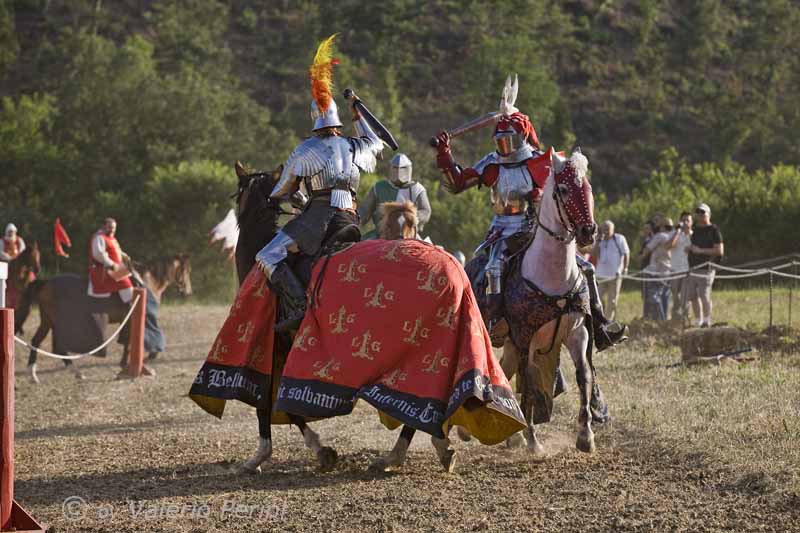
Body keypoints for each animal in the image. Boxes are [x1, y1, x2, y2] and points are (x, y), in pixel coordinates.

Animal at [15, 255, 192, 382]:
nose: (188, 292)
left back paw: (38, 374)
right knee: (53, 346)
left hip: (48, 320)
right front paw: (141, 360)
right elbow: (132, 342)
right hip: (55, 321)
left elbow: (127, 343)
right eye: (186, 271)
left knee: (39, 342)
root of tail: (46, 283)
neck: (146, 282)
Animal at [231, 161, 456, 470]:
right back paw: (425, 449)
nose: (299, 197)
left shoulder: (272, 344)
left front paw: (270, 454)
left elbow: (269, 403)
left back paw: (401, 453)